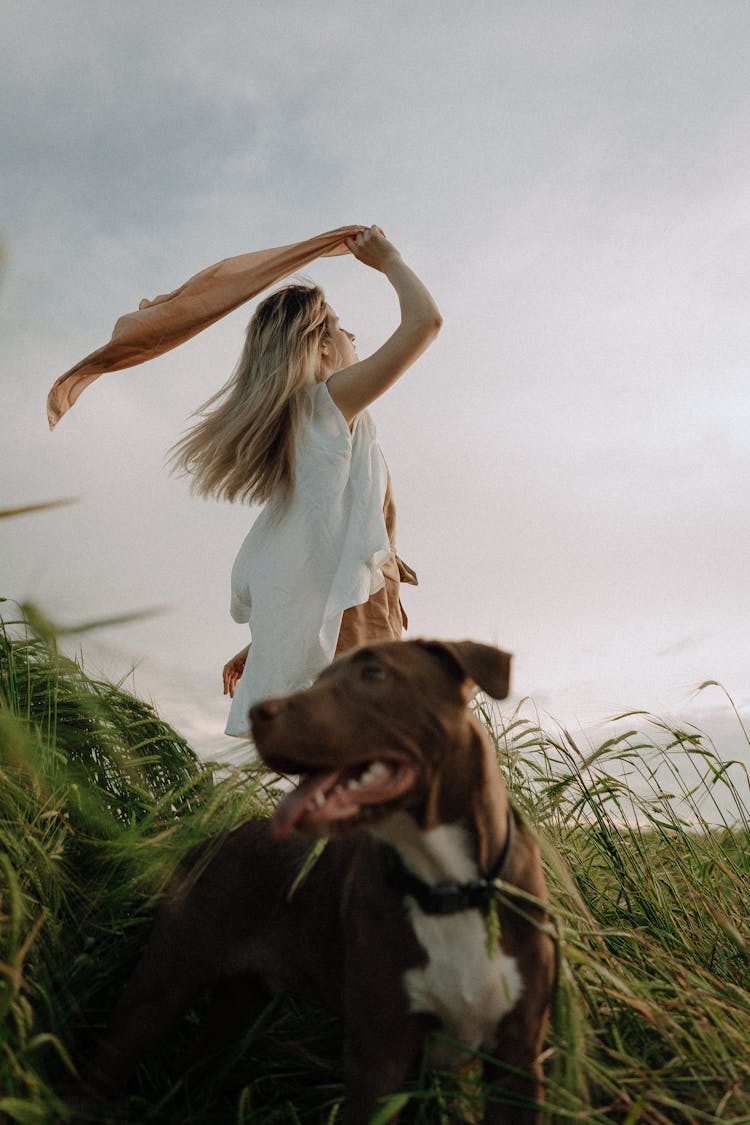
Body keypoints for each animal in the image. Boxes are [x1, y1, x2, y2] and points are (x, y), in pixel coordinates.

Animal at [91, 643, 555, 1125]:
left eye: (374, 674)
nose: (257, 713)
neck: (446, 883)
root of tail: (209, 839)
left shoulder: (518, 1058)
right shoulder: (378, 1055)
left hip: (238, 1001)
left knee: (192, 1067)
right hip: (160, 987)